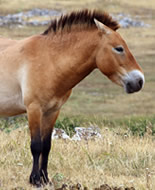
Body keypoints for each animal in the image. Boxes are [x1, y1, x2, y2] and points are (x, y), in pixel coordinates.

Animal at [0, 9, 145, 186]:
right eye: (119, 48)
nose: (139, 81)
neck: (50, 61)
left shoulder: (52, 111)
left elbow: (46, 146)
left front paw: (45, 178)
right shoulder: (34, 109)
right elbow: (36, 146)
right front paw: (35, 180)